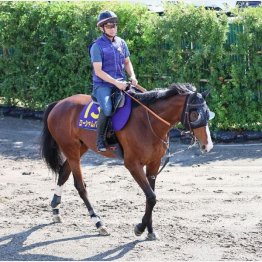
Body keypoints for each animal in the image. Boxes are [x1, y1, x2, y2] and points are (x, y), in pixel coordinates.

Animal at [40, 83, 213, 239]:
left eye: (208, 114)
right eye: (195, 115)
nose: (208, 145)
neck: (148, 122)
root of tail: (58, 103)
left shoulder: (154, 163)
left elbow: (150, 197)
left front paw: (149, 230)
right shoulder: (133, 165)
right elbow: (151, 197)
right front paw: (140, 228)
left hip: (79, 149)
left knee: (63, 172)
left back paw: (56, 210)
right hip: (71, 150)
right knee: (80, 186)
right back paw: (99, 223)